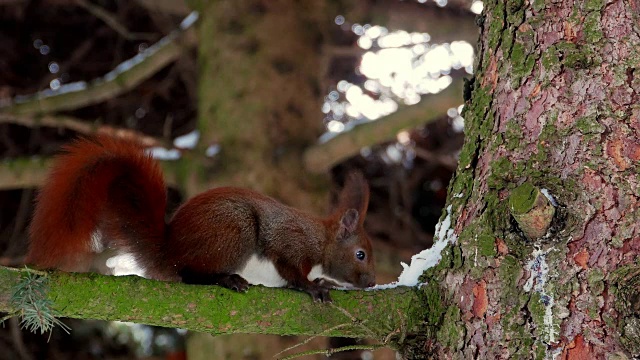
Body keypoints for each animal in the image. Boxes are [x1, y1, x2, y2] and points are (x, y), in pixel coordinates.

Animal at [26, 135, 376, 300]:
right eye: (360, 254)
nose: (372, 282)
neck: (322, 240)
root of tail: (171, 251)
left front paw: (324, 280)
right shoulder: (291, 241)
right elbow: (290, 270)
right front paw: (311, 286)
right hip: (235, 231)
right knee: (190, 274)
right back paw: (225, 279)